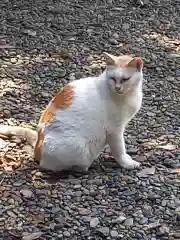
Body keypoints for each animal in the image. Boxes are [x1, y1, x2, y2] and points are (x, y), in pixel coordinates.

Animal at [0, 52, 144, 172]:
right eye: (113, 78)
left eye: (125, 79)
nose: (117, 87)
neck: (129, 95)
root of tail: (37, 145)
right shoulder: (114, 131)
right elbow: (119, 150)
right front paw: (127, 163)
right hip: (76, 147)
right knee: (49, 165)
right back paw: (81, 167)